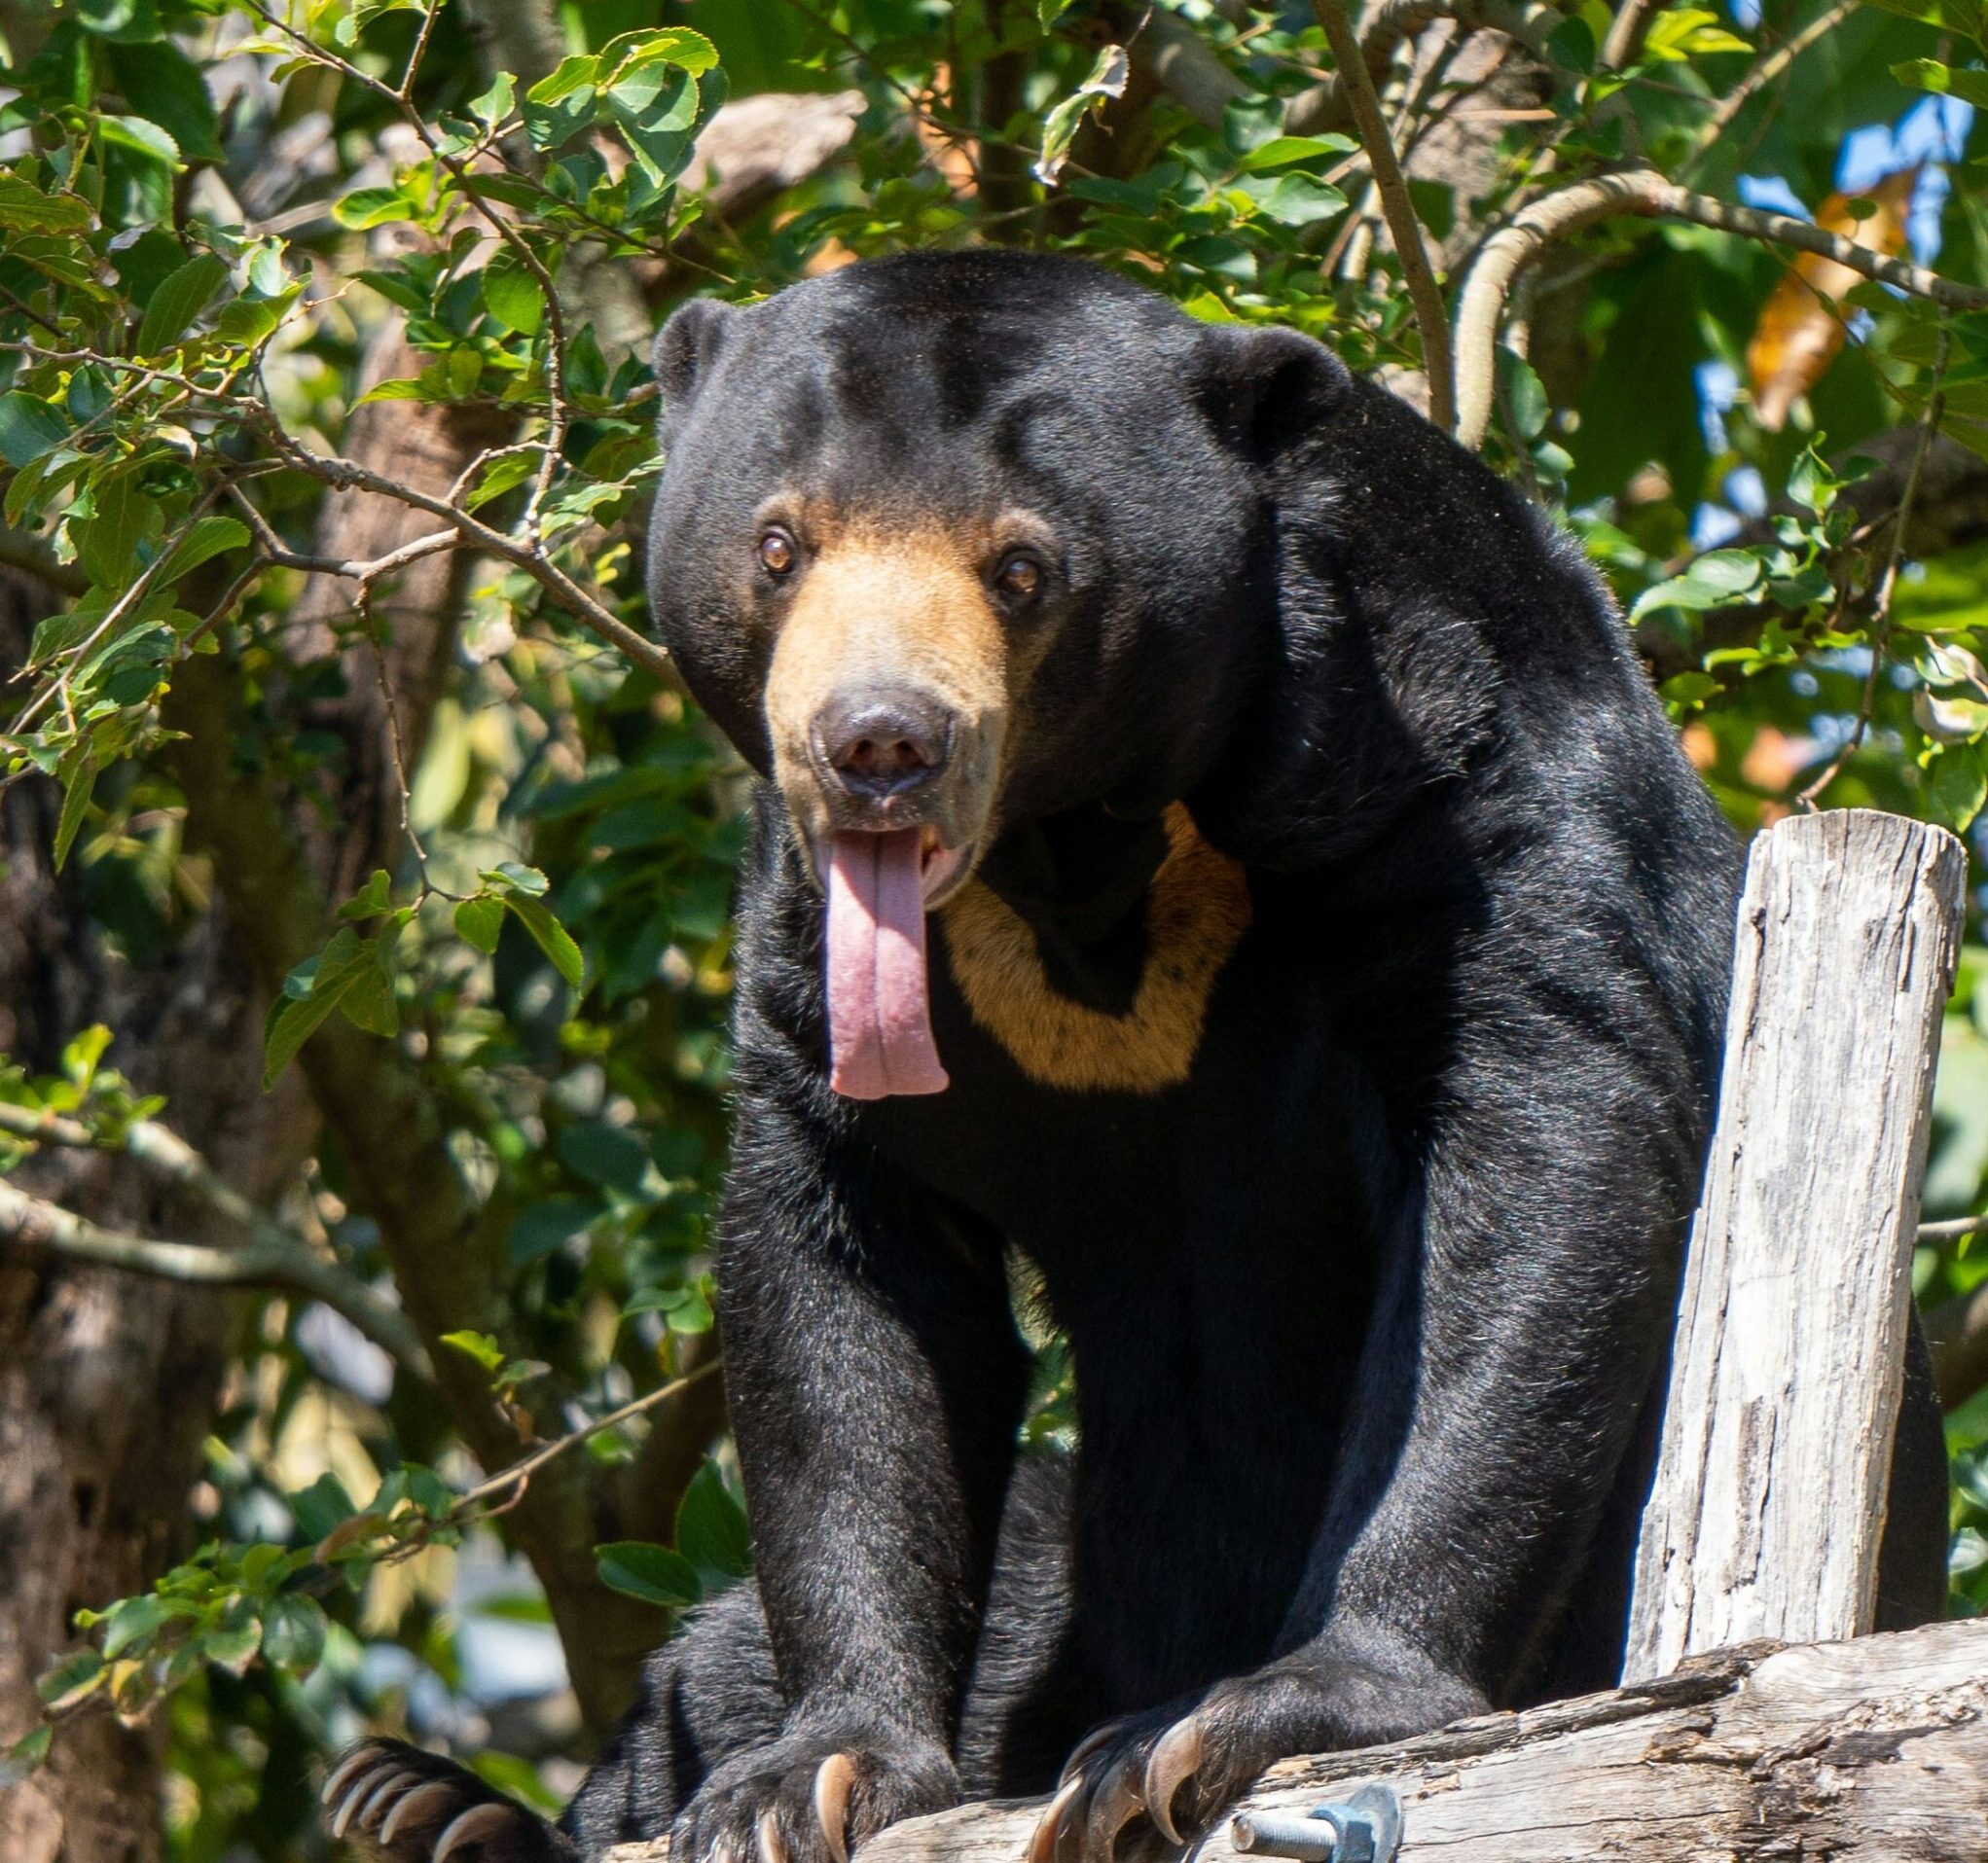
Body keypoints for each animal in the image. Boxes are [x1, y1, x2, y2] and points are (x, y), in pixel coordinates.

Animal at [321, 250, 1939, 1860]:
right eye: (777, 545)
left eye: (1020, 567)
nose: (876, 743)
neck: (1073, 848)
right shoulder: (801, 937)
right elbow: (845, 1266)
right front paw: (806, 1777)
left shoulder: (1450, 757)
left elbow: (1539, 1140)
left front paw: (1245, 1717)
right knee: (710, 1655)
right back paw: (429, 1801)